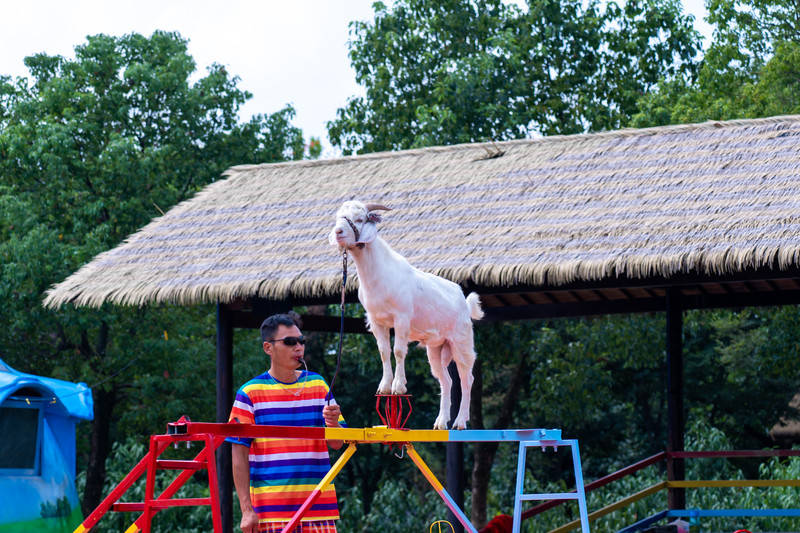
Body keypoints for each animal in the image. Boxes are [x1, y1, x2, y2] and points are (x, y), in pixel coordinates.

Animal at [330, 200, 484, 428]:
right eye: (339, 217)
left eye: (359, 219)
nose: (338, 231)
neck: (378, 274)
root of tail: (464, 302)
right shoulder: (376, 321)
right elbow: (383, 351)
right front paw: (384, 386)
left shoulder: (401, 318)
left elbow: (399, 351)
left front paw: (398, 387)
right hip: (436, 348)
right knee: (446, 380)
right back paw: (440, 422)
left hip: (461, 341)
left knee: (467, 378)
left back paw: (460, 422)